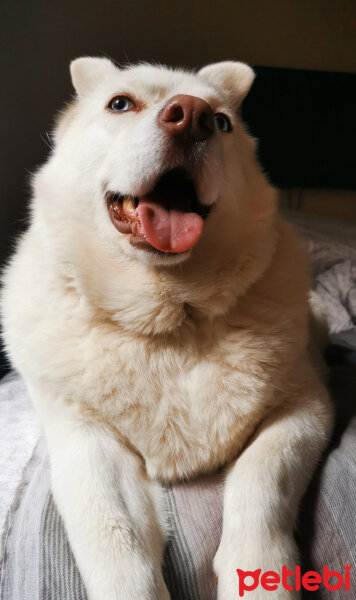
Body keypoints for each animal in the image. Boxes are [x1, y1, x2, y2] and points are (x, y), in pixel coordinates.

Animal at [0, 57, 334, 600]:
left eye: (221, 122)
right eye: (119, 103)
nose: (191, 116)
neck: (171, 321)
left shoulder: (304, 407)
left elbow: (262, 481)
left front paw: (259, 574)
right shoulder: (84, 439)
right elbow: (114, 543)